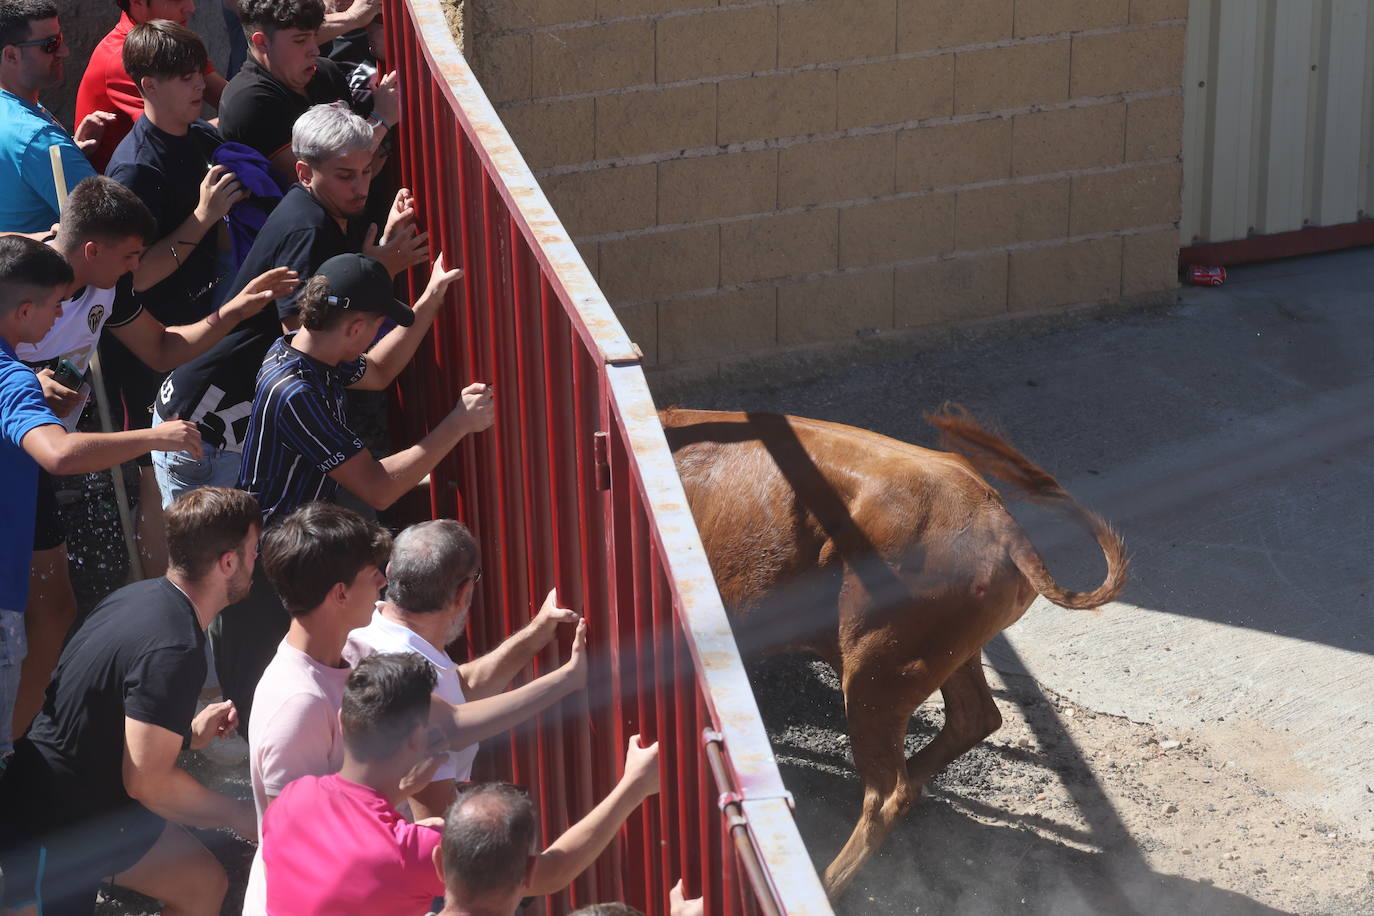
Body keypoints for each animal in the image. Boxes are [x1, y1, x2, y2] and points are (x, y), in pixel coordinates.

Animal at [665, 403, 1126, 900]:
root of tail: (1003, 525)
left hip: (876, 673)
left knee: (889, 792)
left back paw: (828, 881)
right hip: (942, 656)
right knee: (973, 718)